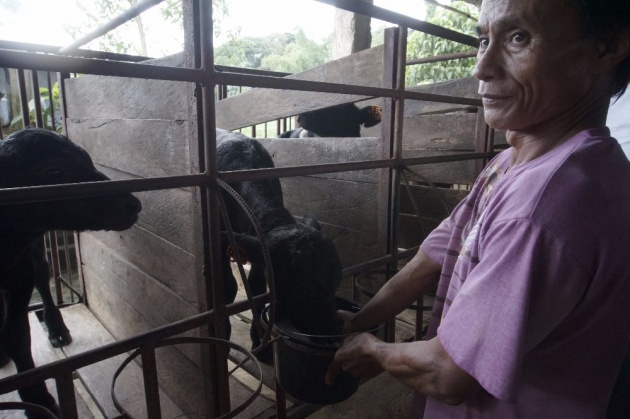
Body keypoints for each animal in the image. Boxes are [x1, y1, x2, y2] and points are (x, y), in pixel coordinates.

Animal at [0, 127, 141, 416]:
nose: (132, 204)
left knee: (42, 273)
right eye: (53, 171)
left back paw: (57, 329)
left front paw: (39, 400)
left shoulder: (20, 272)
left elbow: (17, 335)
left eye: (87, 159)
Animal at [218, 130, 346, 364]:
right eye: (297, 292)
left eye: (335, 284)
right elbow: (229, 288)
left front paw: (261, 344)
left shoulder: (258, 252)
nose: (329, 335)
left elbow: (257, 288)